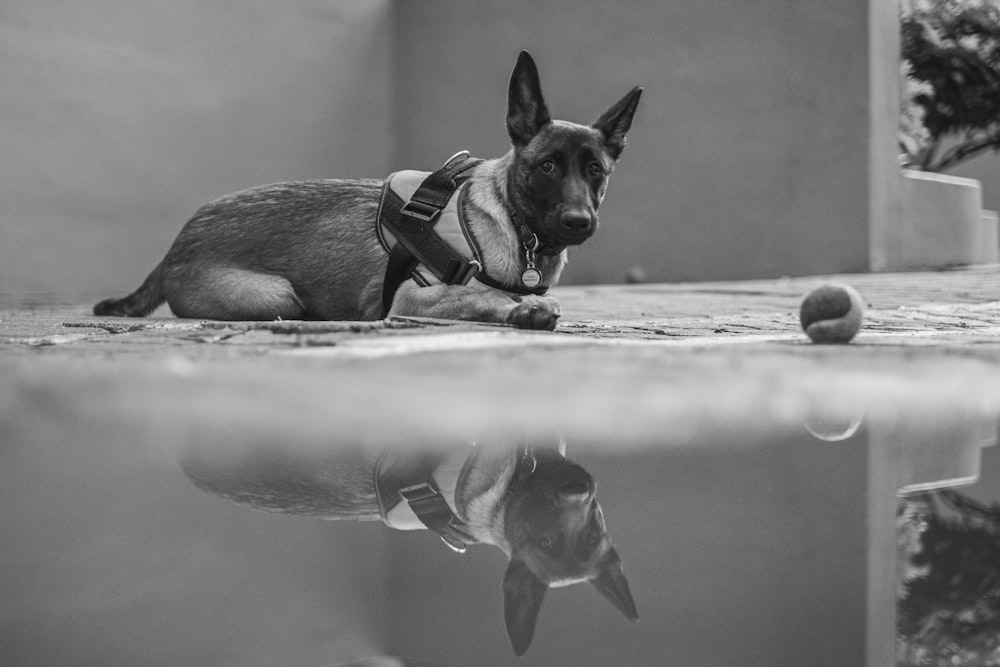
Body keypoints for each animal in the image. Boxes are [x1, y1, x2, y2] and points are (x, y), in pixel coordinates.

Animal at [92, 52, 640, 332]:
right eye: (547, 166)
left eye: (596, 170)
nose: (579, 222)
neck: (509, 217)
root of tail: (176, 246)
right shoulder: (416, 297)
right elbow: (481, 295)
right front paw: (524, 310)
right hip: (276, 294)